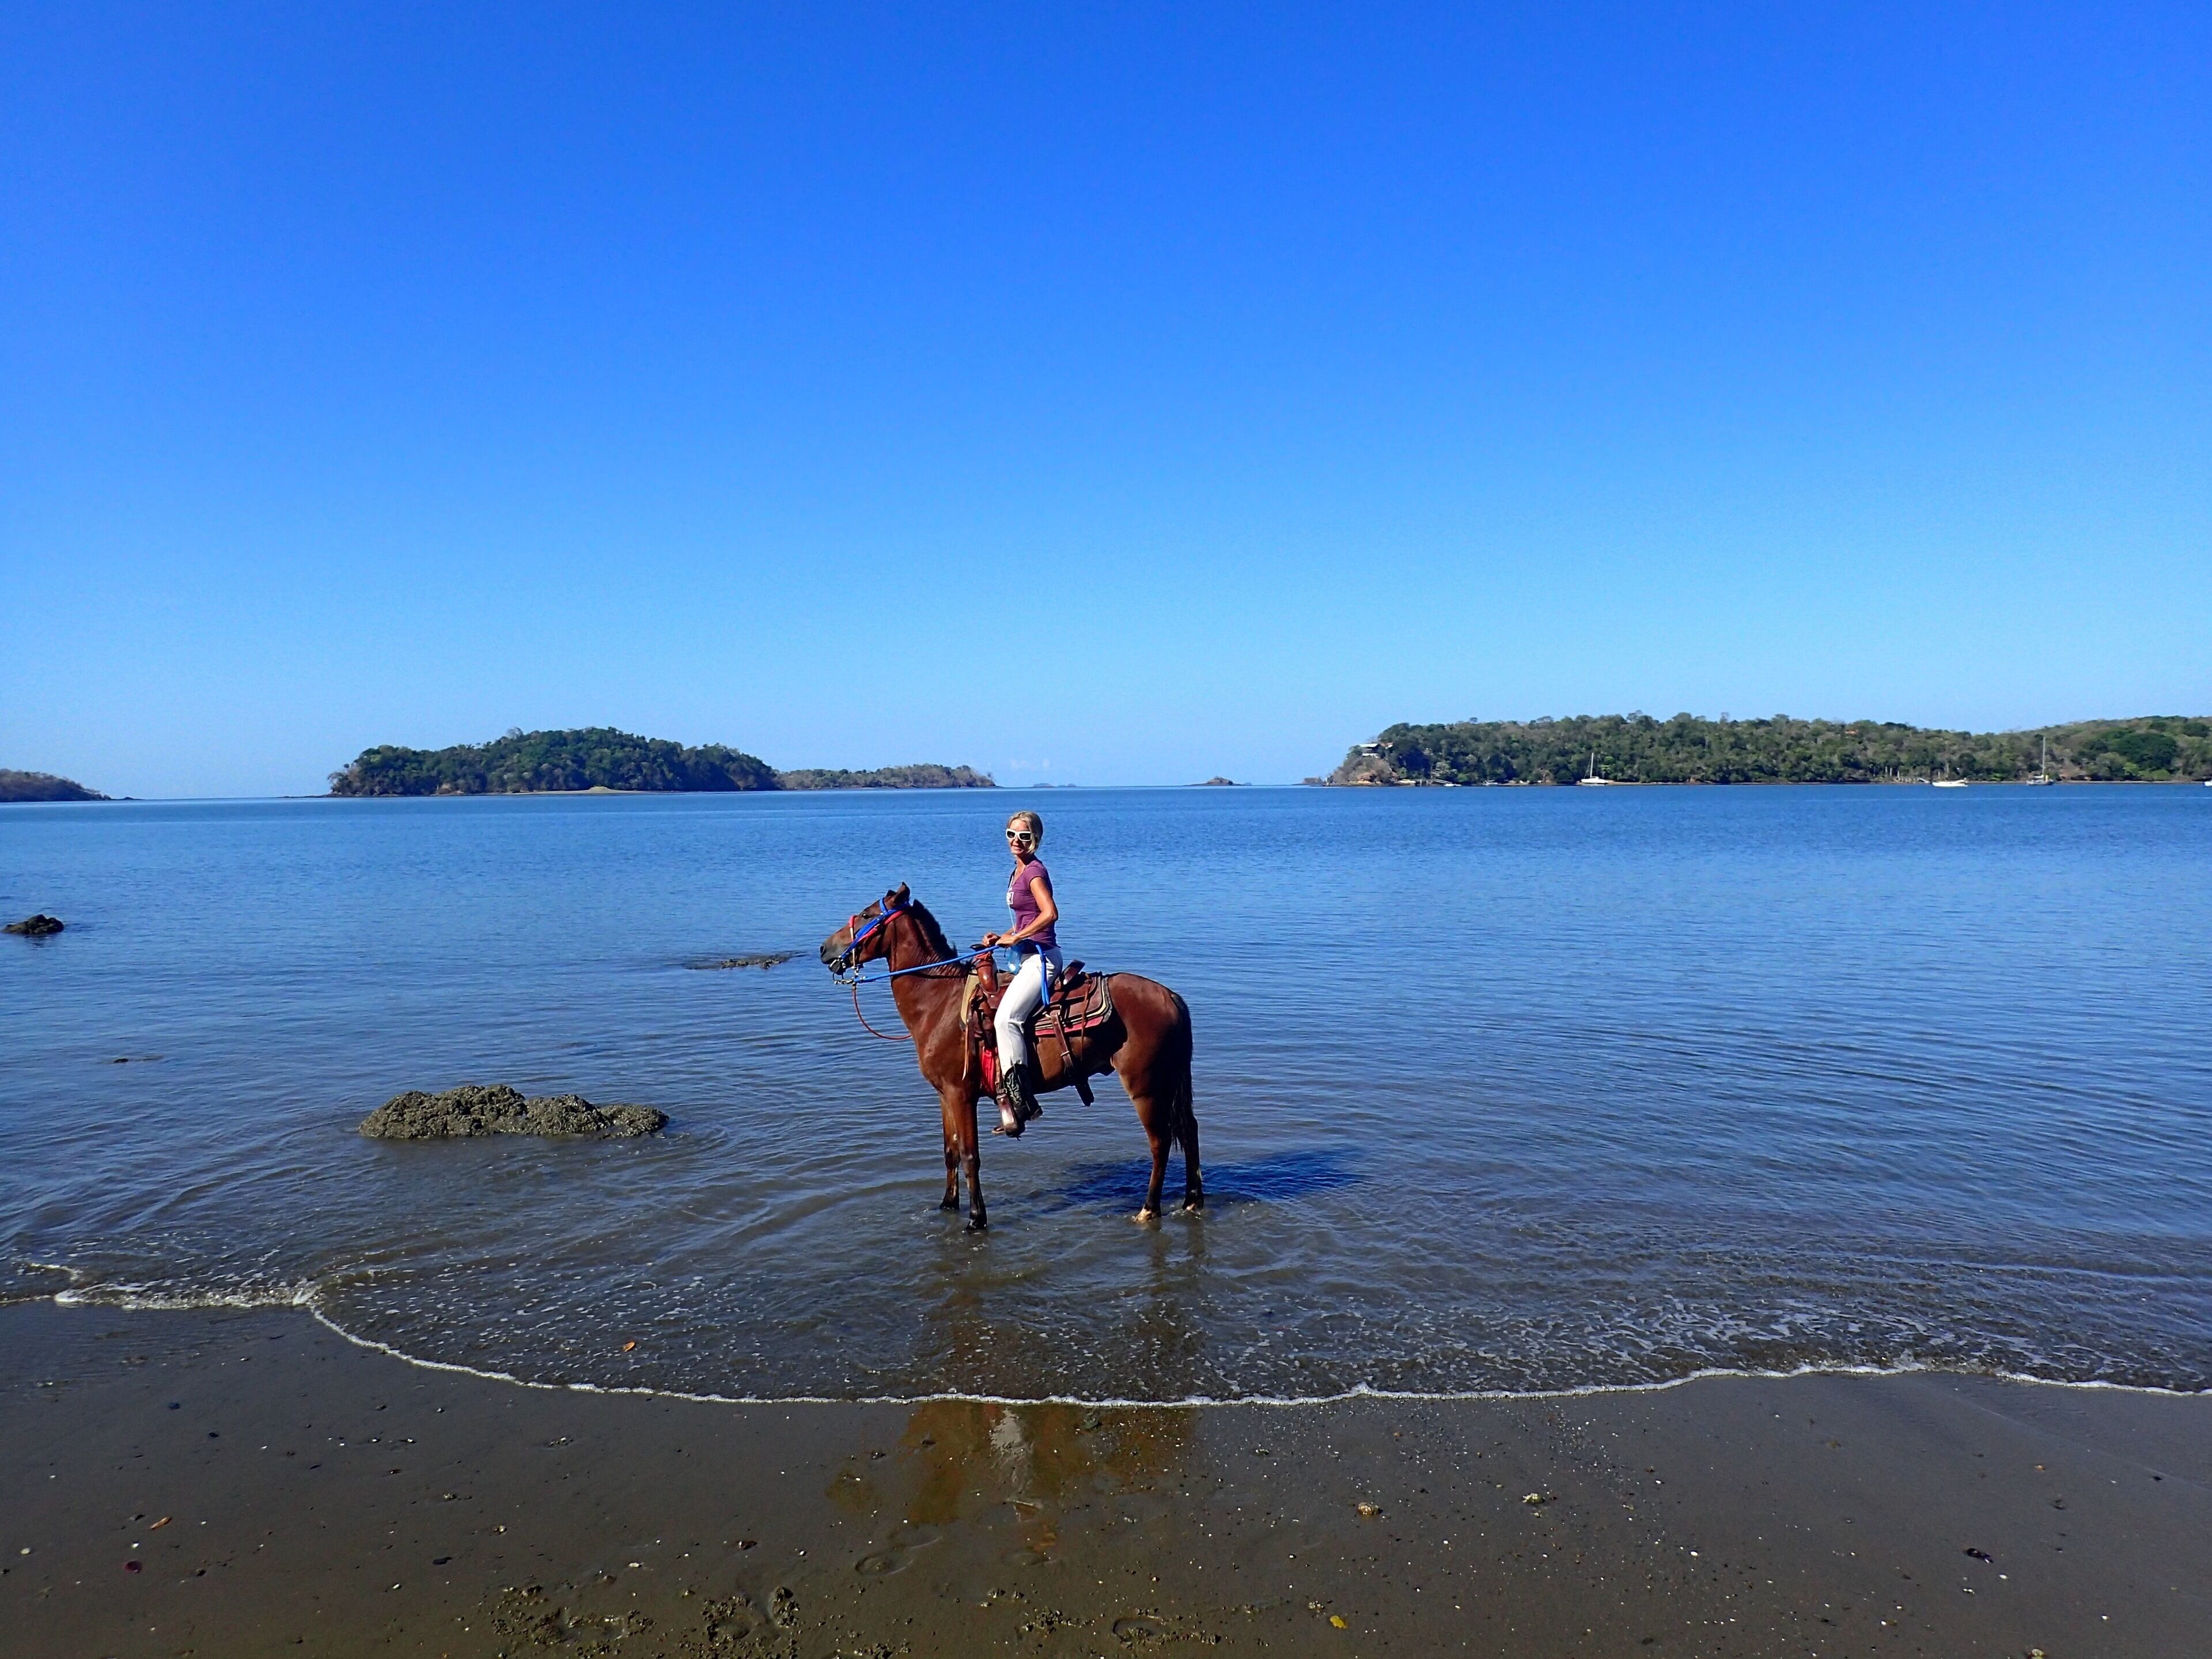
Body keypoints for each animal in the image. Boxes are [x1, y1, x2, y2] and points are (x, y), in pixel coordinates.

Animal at [821, 885, 1201, 1231]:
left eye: (867, 915)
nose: (825, 949)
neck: (939, 1002)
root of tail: (1171, 997)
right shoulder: (944, 1096)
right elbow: (950, 1152)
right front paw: (947, 1205)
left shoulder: (961, 1095)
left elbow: (970, 1156)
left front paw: (976, 1219)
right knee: (1189, 1129)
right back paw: (1192, 1200)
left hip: (1145, 1087)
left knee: (1160, 1142)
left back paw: (1149, 1209)